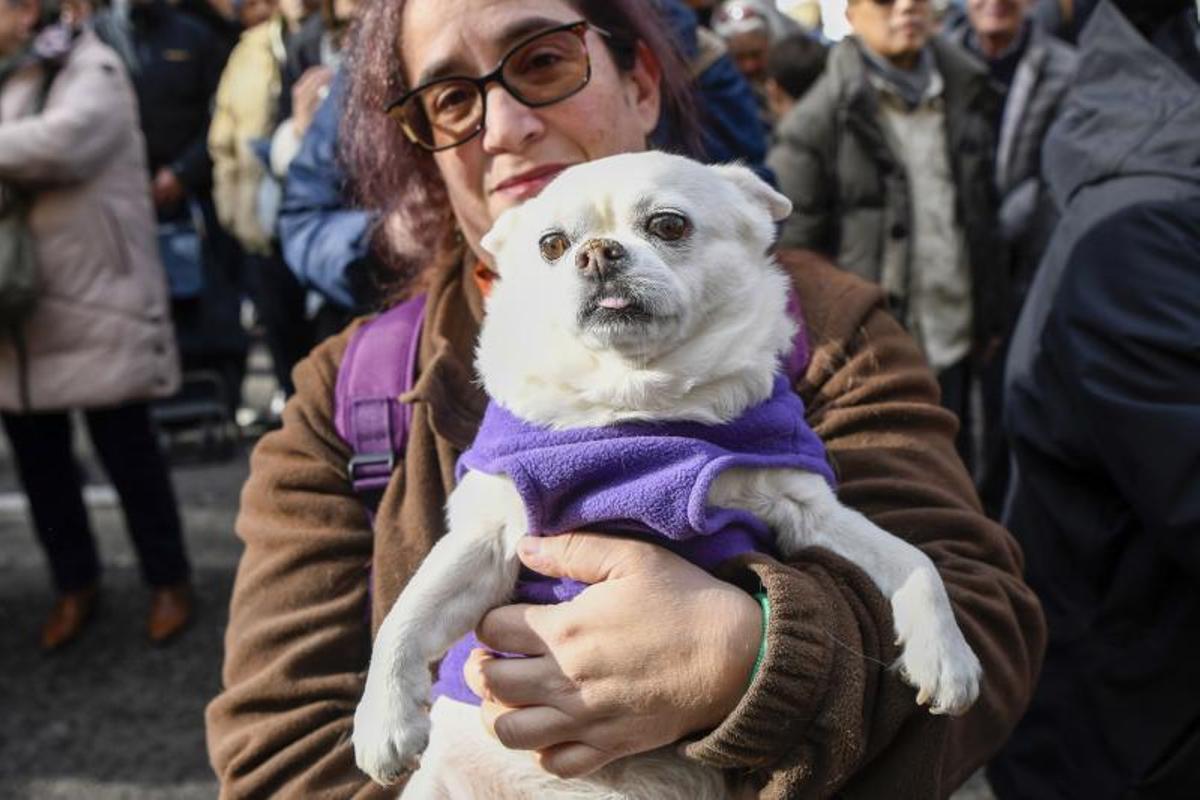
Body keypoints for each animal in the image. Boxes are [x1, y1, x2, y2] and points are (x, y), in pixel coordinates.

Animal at [350, 153, 984, 796]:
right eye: (552, 245)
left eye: (669, 225)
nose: (597, 252)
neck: (637, 408)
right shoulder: (489, 538)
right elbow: (407, 613)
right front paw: (383, 723)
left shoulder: (809, 510)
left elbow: (915, 561)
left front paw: (947, 655)